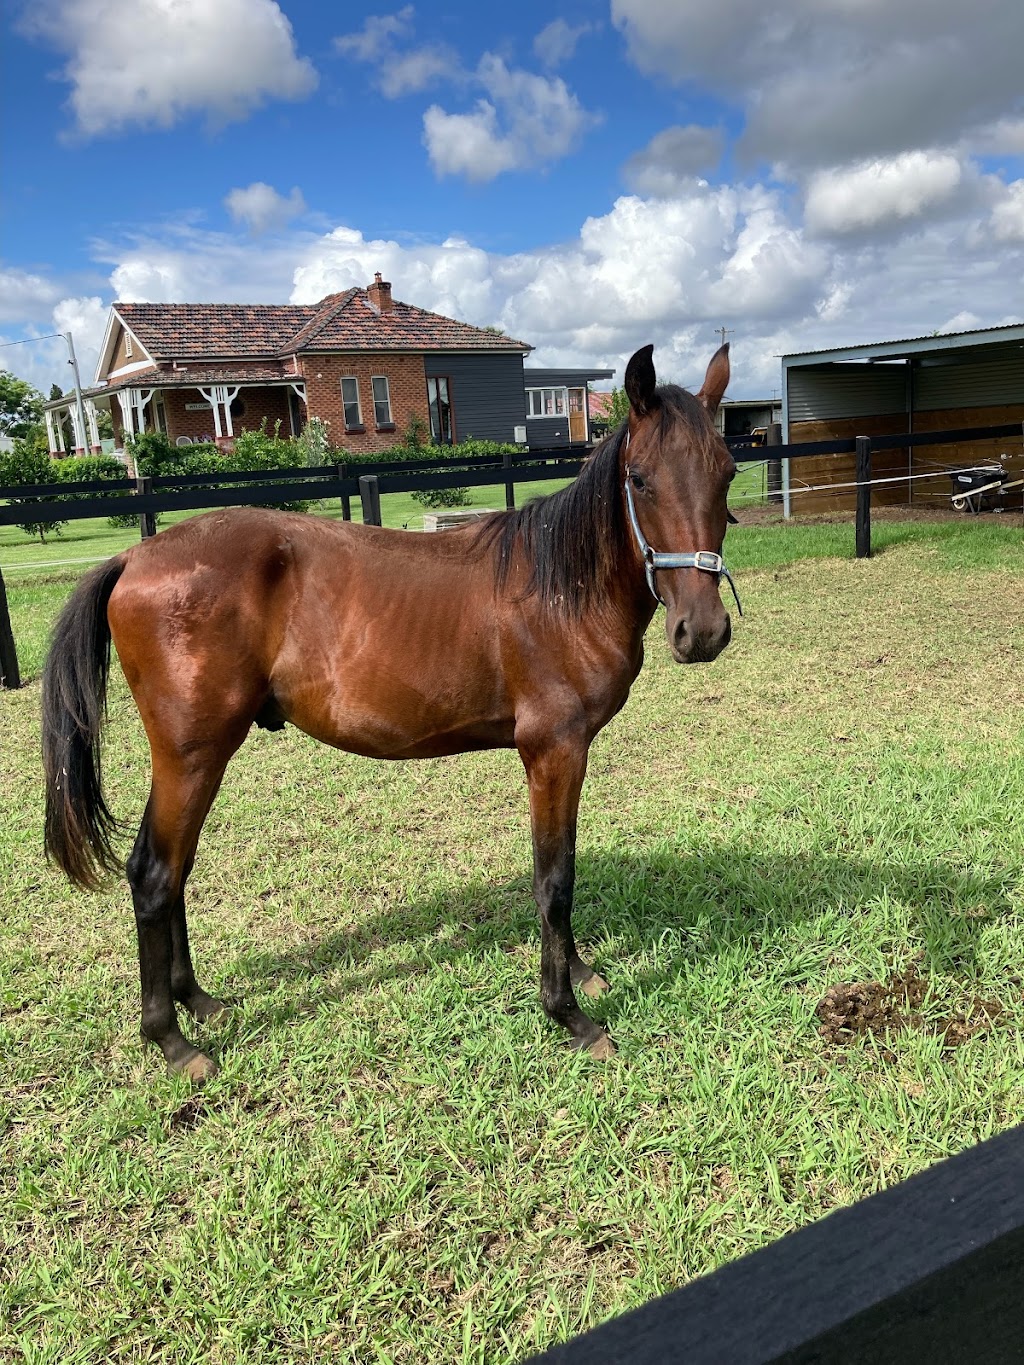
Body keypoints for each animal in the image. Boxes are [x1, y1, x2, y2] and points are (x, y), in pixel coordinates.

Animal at [44, 338, 742, 1075]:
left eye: (727, 473)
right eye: (639, 478)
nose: (702, 631)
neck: (559, 589)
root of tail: (132, 558)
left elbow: (561, 867)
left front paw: (579, 973)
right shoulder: (554, 751)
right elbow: (554, 879)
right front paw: (569, 1013)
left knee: (172, 869)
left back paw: (197, 1002)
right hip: (193, 754)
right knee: (155, 874)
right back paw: (172, 1039)